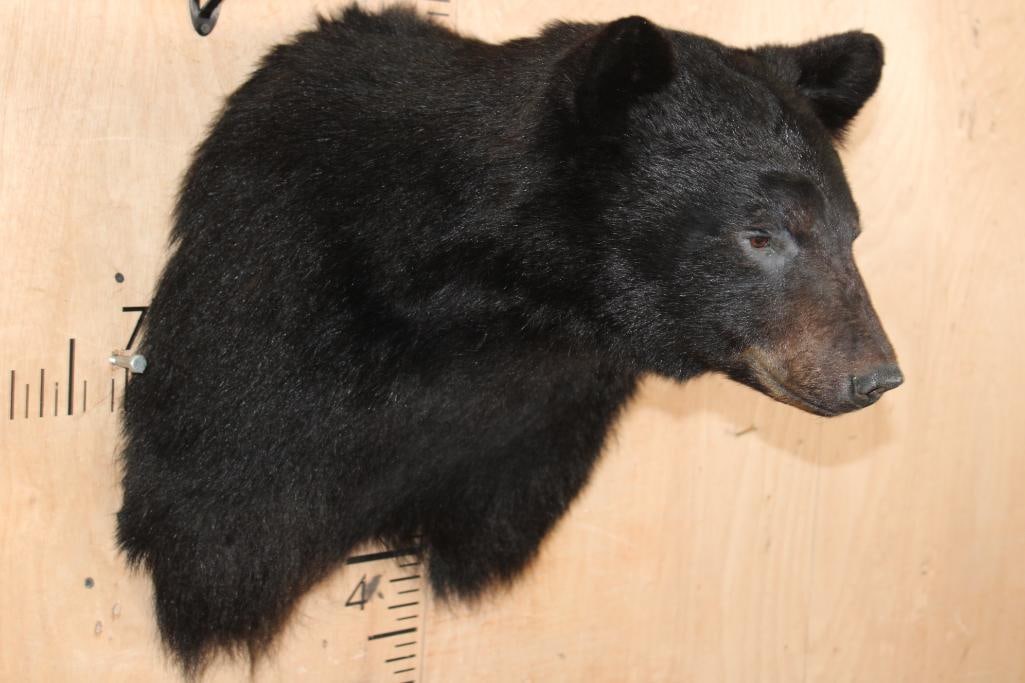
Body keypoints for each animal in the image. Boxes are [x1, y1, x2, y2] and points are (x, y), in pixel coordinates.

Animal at [117, 4, 902, 675]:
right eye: (760, 233)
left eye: (850, 233)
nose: (876, 376)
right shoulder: (270, 321)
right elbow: (223, 502)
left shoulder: (538, 426)